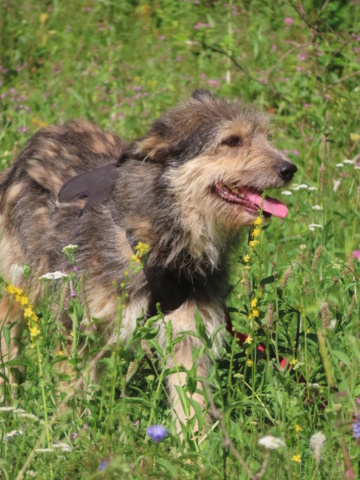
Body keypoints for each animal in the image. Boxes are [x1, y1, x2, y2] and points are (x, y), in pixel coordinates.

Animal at [0, 91, 296, 428]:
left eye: (266, 137)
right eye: (232, 141)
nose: (289, 169)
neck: (165, 235)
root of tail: (43, 136)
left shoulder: (189, 329)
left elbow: (190, 400)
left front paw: (193, 441)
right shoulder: (77, 323)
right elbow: (73, 386)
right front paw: (73, 431)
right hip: (20, 283)